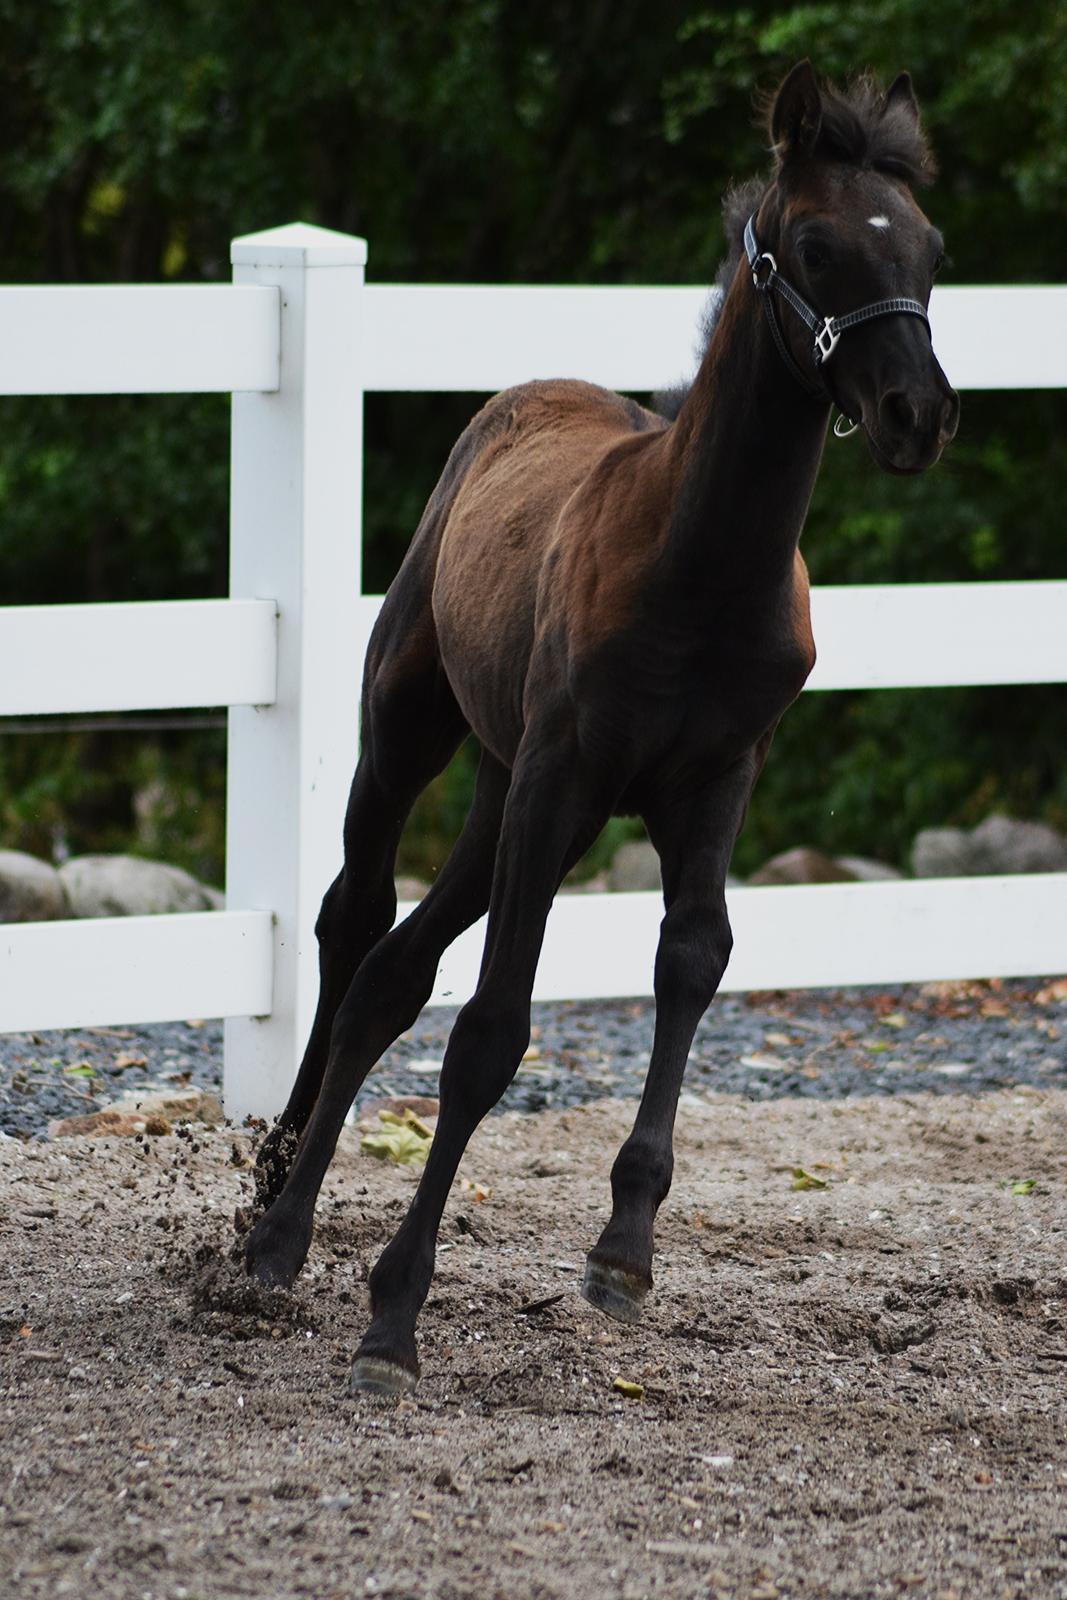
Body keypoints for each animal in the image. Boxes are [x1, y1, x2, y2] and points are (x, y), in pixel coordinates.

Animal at [244, 62, 959, 1388]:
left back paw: (281, 1207)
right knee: (352, 917)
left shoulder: (713, 779)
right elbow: (489, 1032)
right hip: (420, 733)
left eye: (930, 250)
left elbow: (690, 958)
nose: (917, 414)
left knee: (391, 966)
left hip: (503, 788)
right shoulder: (565, 776)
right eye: (814, 245)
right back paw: (271, 1217)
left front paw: (622, 1251)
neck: (697, 564)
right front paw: (392, 1318)